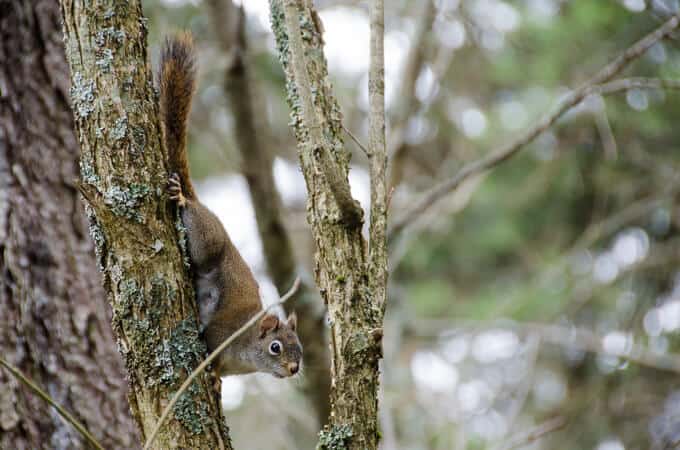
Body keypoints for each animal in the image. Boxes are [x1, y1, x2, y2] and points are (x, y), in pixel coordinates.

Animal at [159, 32, 300, 376]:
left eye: (299, 348)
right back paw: (181, 198)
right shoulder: (220, 335)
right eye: (276, 347)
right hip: (206, 242)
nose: (294, 369)